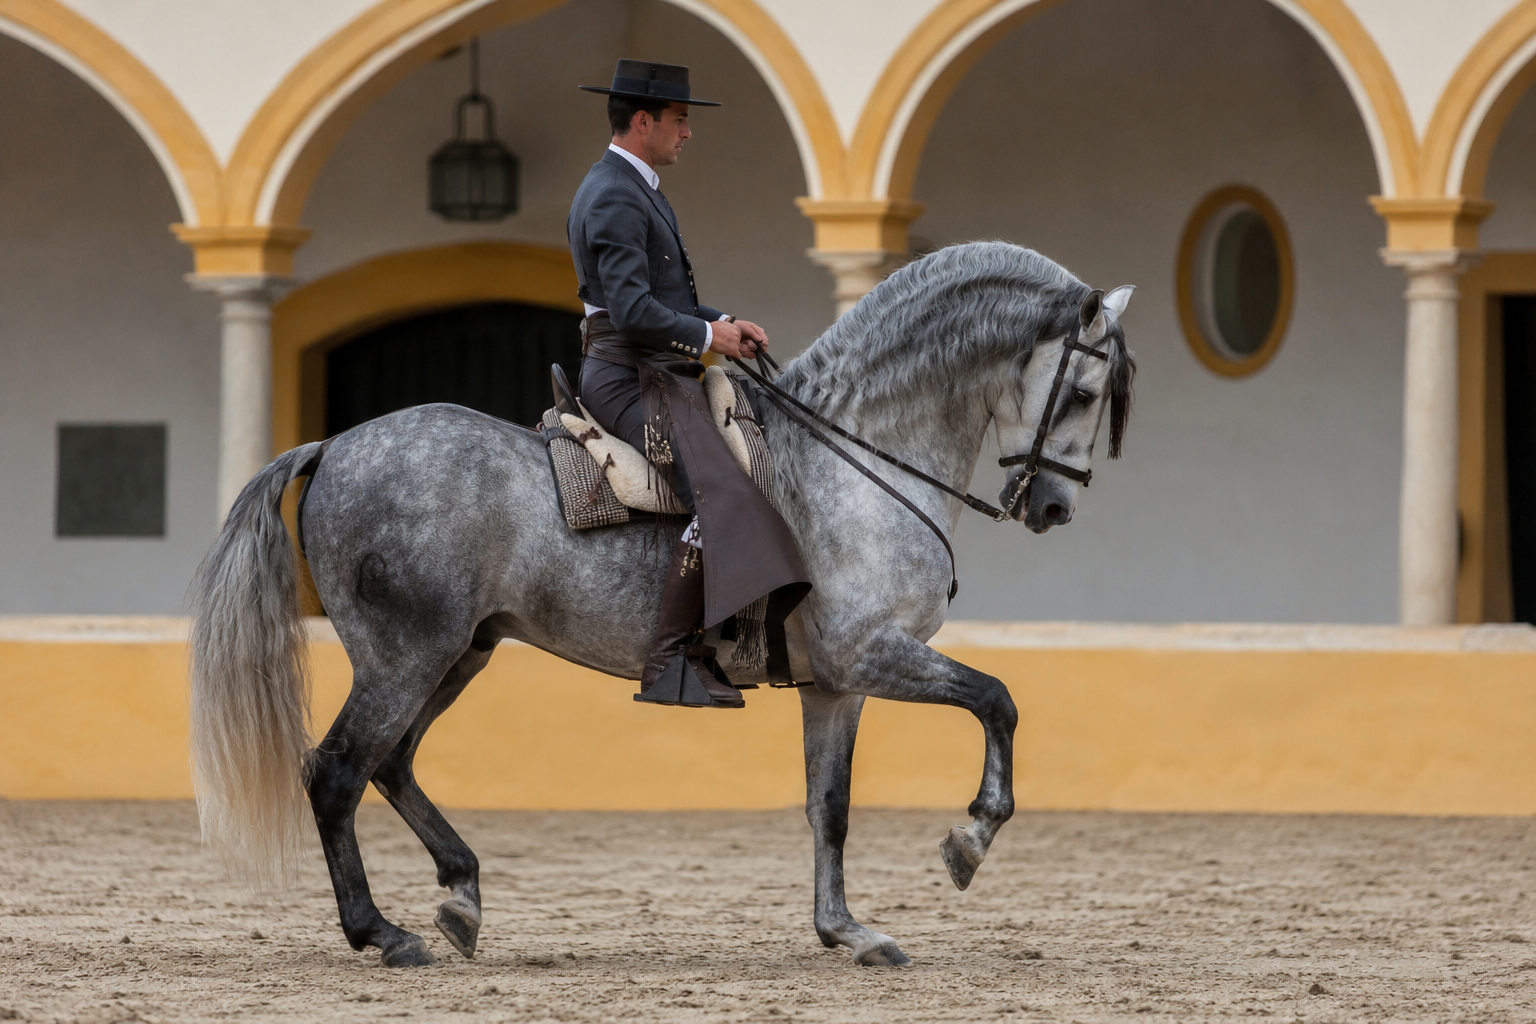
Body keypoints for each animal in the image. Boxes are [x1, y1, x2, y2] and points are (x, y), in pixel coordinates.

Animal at [189, 241, 1137, 968]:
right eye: (1084, 394)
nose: (1055, 508)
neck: (855, 462)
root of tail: (334, 445)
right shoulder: (872, 654)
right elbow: (998, 700)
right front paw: (969, 841)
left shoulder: (836, 682)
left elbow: (829, 805)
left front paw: (846, 931)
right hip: (405, 656)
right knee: (337, 771)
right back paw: (381, 934)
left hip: (459, 652)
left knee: (390, 764)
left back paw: (460, 896)